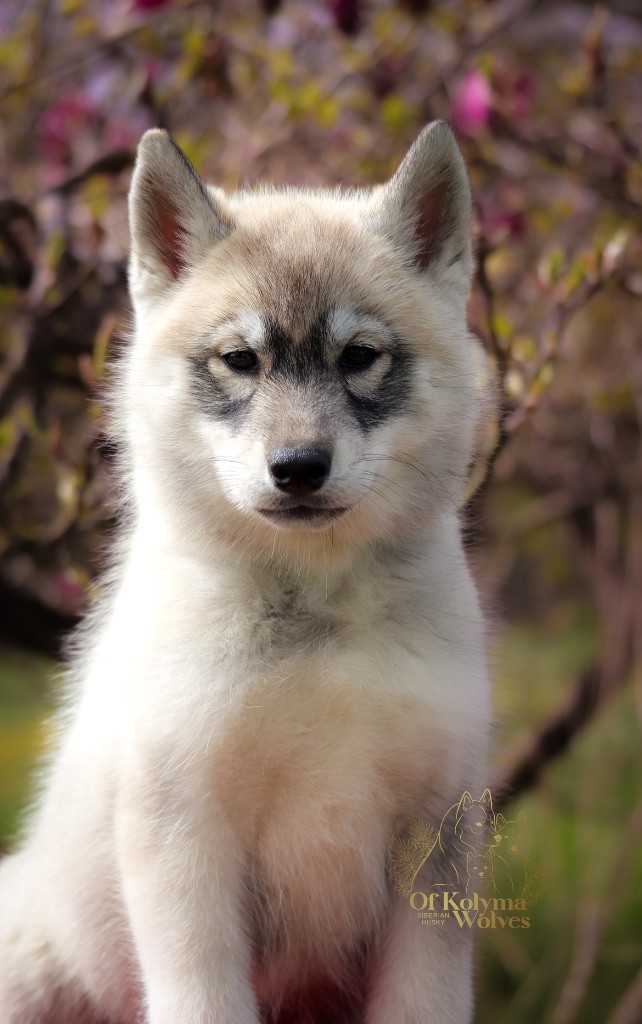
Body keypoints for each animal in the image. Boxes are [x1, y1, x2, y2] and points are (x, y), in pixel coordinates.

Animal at [0, 120, 491, 1024]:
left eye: (359, 356)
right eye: (239, 359)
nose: (297, 468)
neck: (316, 621)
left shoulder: (436, 841)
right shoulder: (181, 834)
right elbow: (201, 999)